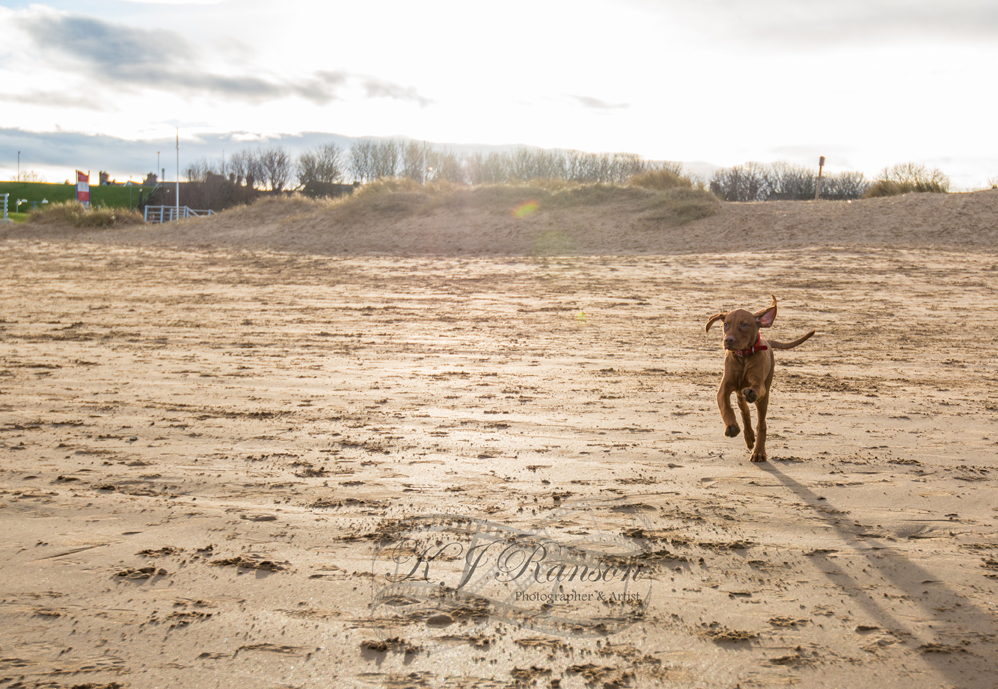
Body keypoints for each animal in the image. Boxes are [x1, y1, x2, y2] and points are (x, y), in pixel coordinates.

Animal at [708, 294, 816, 462]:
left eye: (744, 324)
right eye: (725, 324)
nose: (728, 340)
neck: (744, 356)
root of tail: (768, 342)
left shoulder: (759, 385)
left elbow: (756, 389)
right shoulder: (724, 389)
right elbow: (725, 407)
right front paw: (731, 426)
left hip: (764, 396)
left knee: (761, 423)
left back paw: (758, 451)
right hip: (739, 393)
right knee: (744, 412)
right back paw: (748, 436)